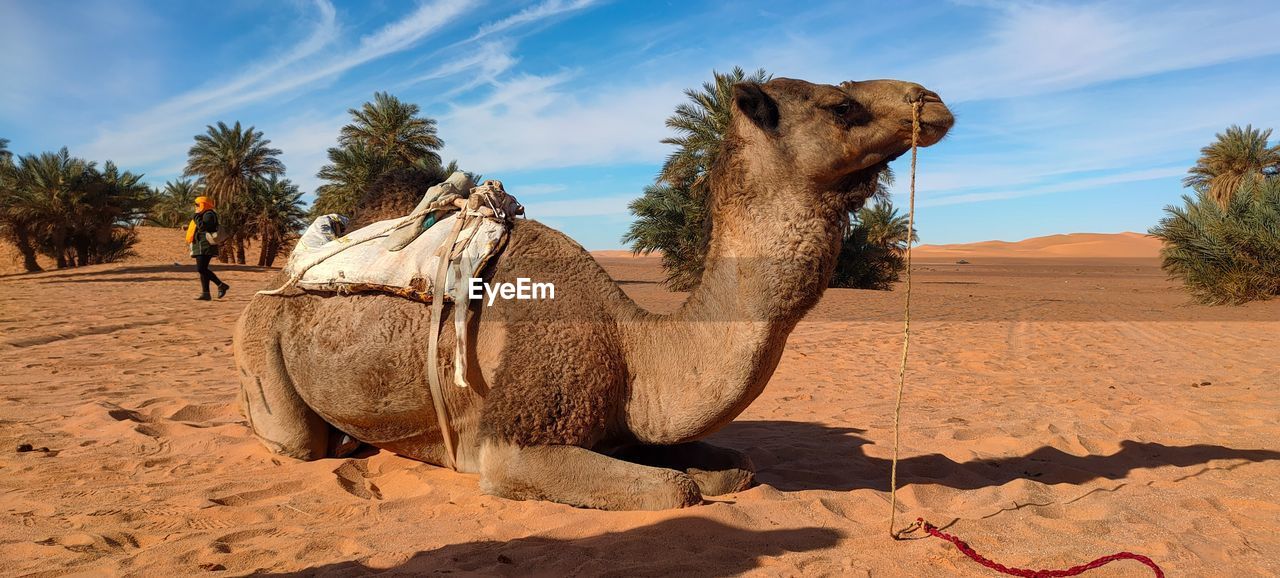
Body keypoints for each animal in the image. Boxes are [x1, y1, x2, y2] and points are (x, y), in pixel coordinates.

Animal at [233, 77, 954, 510]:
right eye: (842, 106)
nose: (932, 99)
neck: (634, 350)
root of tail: (276, 283)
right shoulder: (511, 445)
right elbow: (679, 493)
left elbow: (734, 467)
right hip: (256, 337)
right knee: (295, 440)